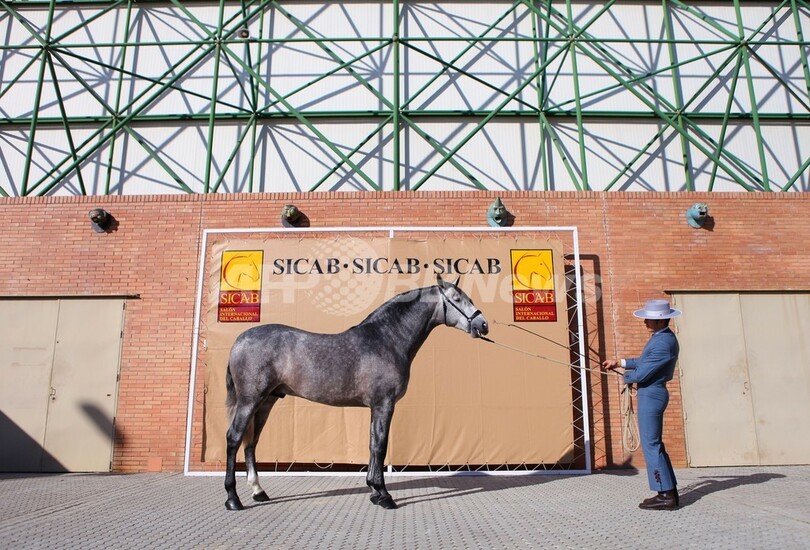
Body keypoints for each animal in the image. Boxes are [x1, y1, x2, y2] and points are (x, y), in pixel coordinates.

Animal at [223, 274, 489, 511]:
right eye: (457, 298)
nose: (483, 324)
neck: (386, 340)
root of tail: (239, 340)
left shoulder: (376, 406)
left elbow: (372, 445)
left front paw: (374, 491)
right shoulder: (384, 404)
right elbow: (380, 446)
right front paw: (384, 496)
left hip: (266, 402)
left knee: (251, 442)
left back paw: (259, 491)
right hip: (249, 401)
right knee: (234, 438)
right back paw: (233, 499)